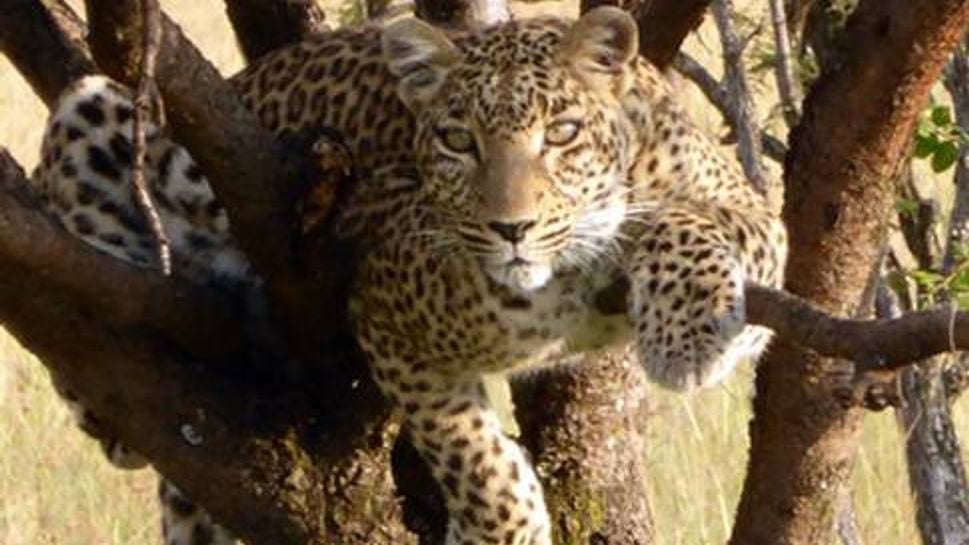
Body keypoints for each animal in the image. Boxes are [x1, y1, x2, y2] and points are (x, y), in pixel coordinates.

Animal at [32, 5, 788, 544]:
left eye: (562, 133)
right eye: (457, 140)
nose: (510, 227)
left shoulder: (750, 213)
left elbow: (690, 225)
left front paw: (688, 332)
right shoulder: (386, 313)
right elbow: (472, 455)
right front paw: (499, 525)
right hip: (96, 103)